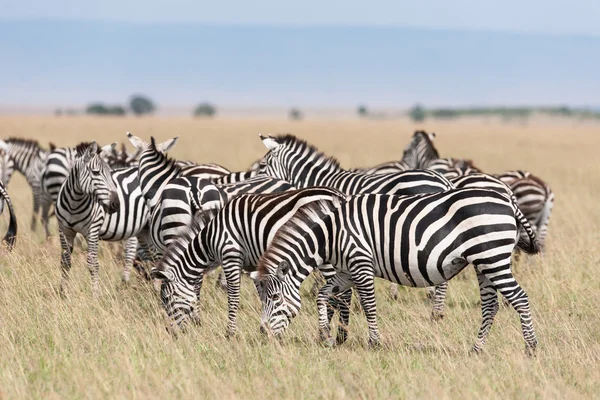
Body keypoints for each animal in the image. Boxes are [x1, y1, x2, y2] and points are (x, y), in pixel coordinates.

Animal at [56, 142, 150, 296]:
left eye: (111, 173)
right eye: (95, 173)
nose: (116, 204)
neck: (74, 204)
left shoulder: (93, 230)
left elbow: (92, 263)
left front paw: (96, 295)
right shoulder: (64, 230)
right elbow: (65, 261)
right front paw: (62, 293)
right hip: (144, 229)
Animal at [151, 188, 346, 334]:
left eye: (166, 299)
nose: (171, 332)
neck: (210, 238)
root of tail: (340, 195)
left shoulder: (230, 256)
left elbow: (233, 297)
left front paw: (230, 333)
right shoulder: (254, 265)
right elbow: (263, 296)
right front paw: (267, 325)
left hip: (327, 257)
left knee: (341, 294)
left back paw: (332, 333)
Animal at [252, 188, 540, 356]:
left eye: (274, 298)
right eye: (263, 299)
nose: (263, 334)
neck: (330, 234)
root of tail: (508, 200)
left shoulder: (361, 263)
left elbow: (368, 304)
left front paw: (374, 343)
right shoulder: (346, 271)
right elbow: (324, 295)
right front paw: (325, 335)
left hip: (492, 257)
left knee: (520, 298)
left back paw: (531, 348)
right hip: (483, 263)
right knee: (491, 305)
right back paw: (476, 349)